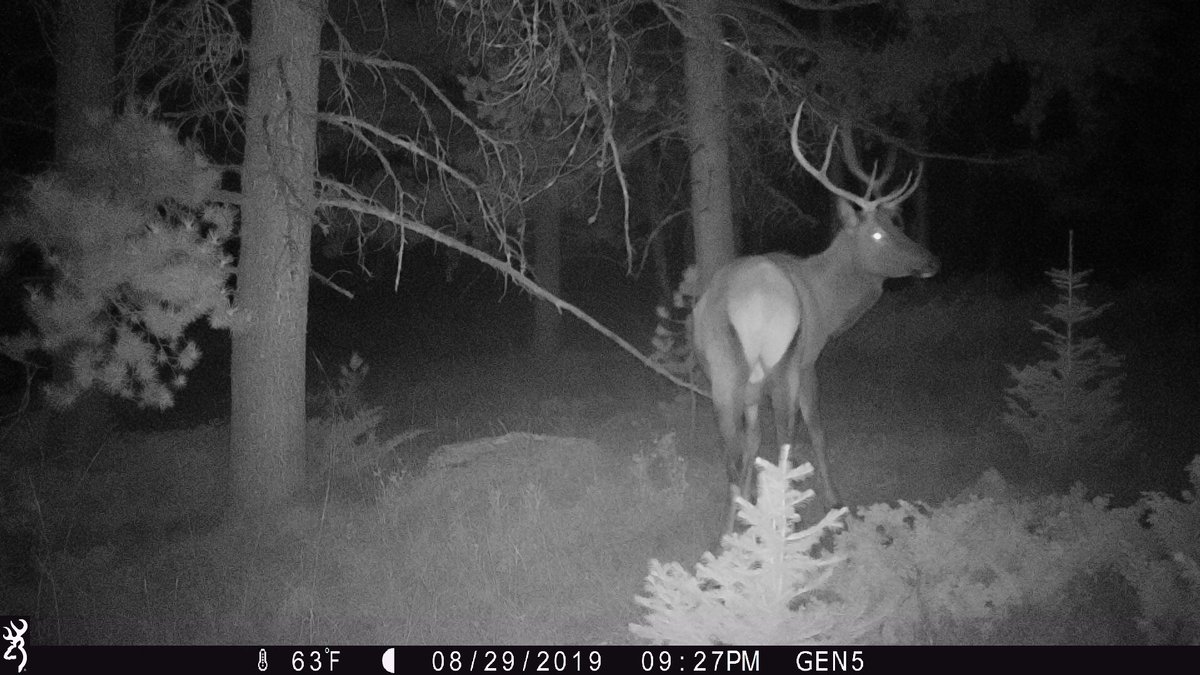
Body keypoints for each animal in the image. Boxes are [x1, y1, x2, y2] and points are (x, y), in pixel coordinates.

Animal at [691, 102, 939, 533]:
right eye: (878, 235)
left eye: (898, 224)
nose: (931, 262)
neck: (828, 302)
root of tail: (746, 301)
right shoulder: (810, 359)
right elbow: (818, 431)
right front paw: (834, 499)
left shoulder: (753, 386)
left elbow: (751, 443)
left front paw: (749, 507)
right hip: (784, 360)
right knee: (786, 440)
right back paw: (783, 520)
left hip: (724, 371)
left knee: (731, 448)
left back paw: (728, 532)